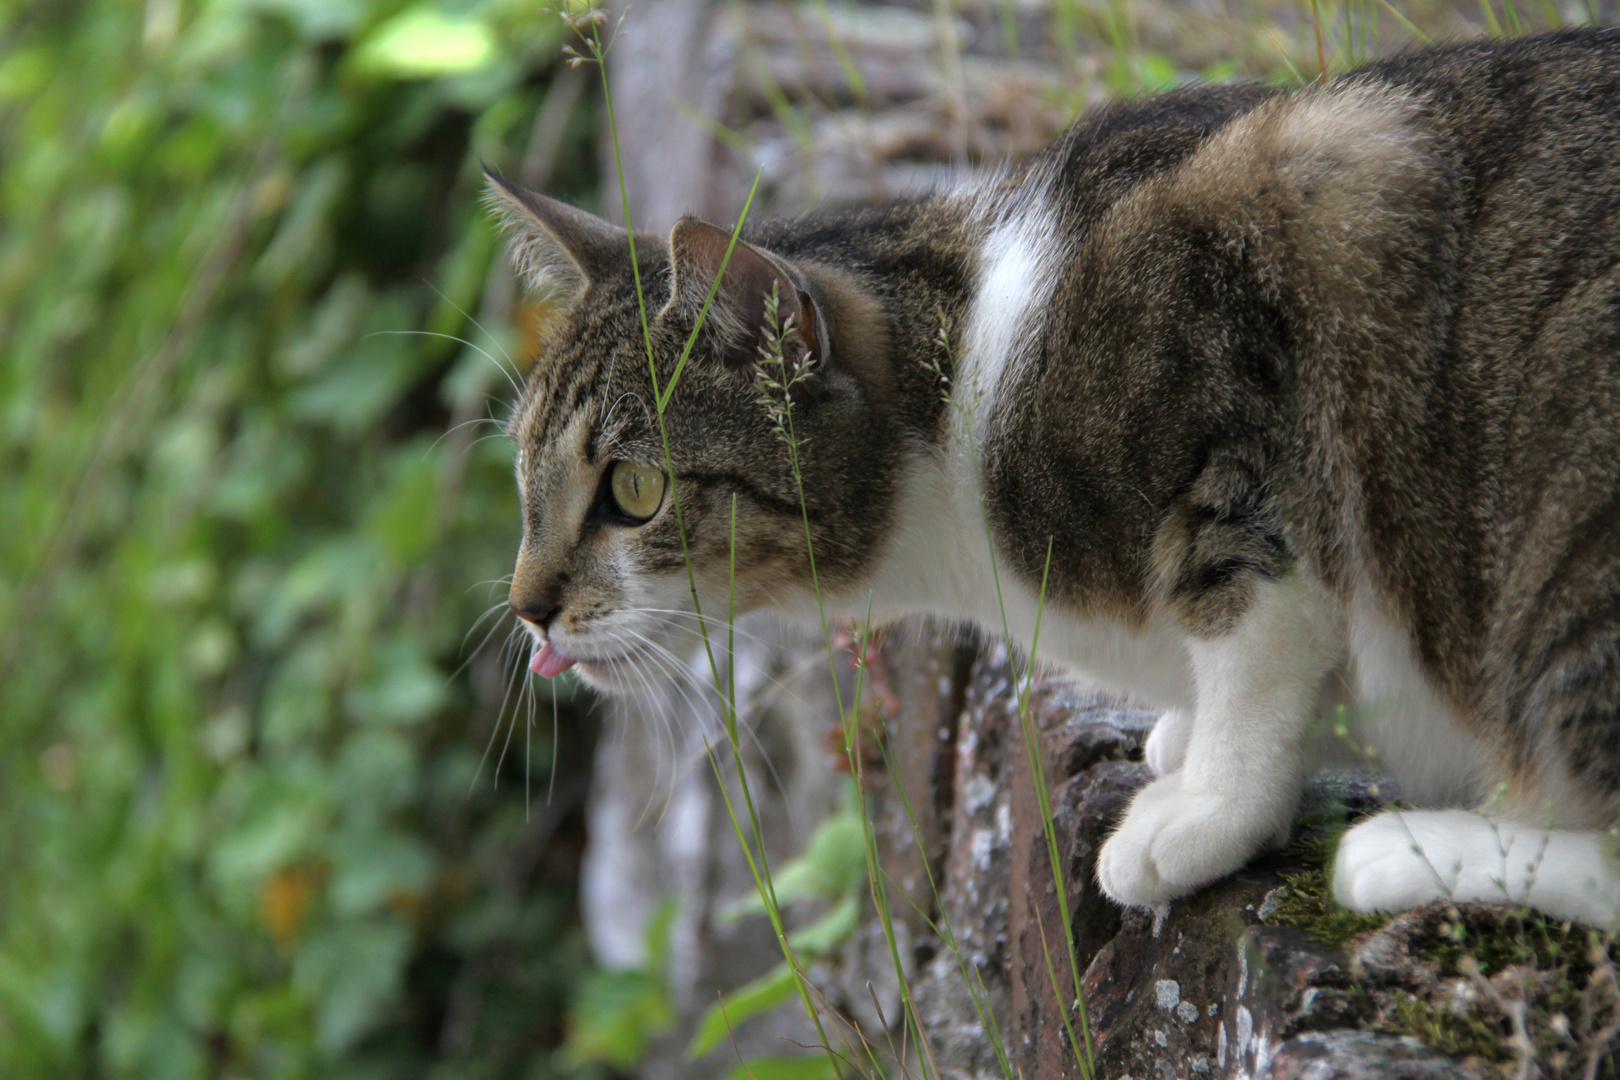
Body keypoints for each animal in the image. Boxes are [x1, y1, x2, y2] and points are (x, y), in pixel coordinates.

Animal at [482, 29, 1620, 932]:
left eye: (634, 491)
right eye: (526, 478)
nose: (527, 610)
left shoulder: (1251, 361)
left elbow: (1254, 630)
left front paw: (1211, 807)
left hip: (1565, 534)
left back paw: (1416, 851)